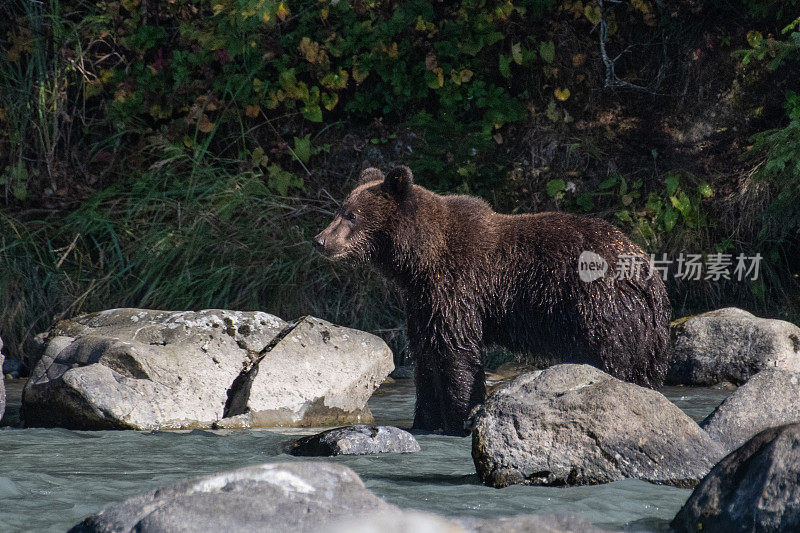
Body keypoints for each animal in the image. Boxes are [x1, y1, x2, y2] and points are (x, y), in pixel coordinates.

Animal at [312, 166, 668, 436]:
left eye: (352, 214)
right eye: (340, 209)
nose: (320, 240)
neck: (419, 260)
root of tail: (648, 274)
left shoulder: (458, 287)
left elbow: (456, 354)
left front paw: (458, 417)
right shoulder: (422, 302)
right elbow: (425, 355)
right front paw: (424, 421)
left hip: (601, 309)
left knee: (614, 362)